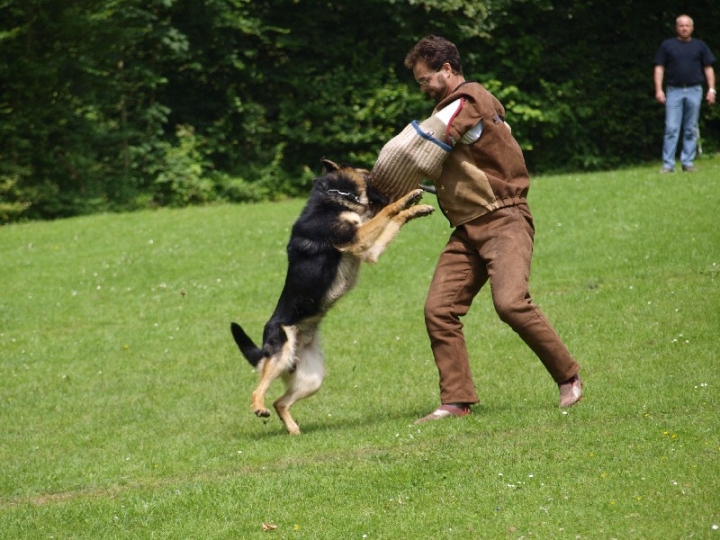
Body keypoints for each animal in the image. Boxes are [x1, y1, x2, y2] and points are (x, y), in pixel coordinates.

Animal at [232, 157, 434, 434]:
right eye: (369, 173)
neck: (334, 196)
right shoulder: (356, 239)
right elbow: (387, 211)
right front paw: (408, 199)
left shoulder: (368, 250)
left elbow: (393, 217)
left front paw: (417, 208)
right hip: (280, 355)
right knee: (258, 391)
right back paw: (259, 407)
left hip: (312, 378)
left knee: (280, 402)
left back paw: (293, 430)